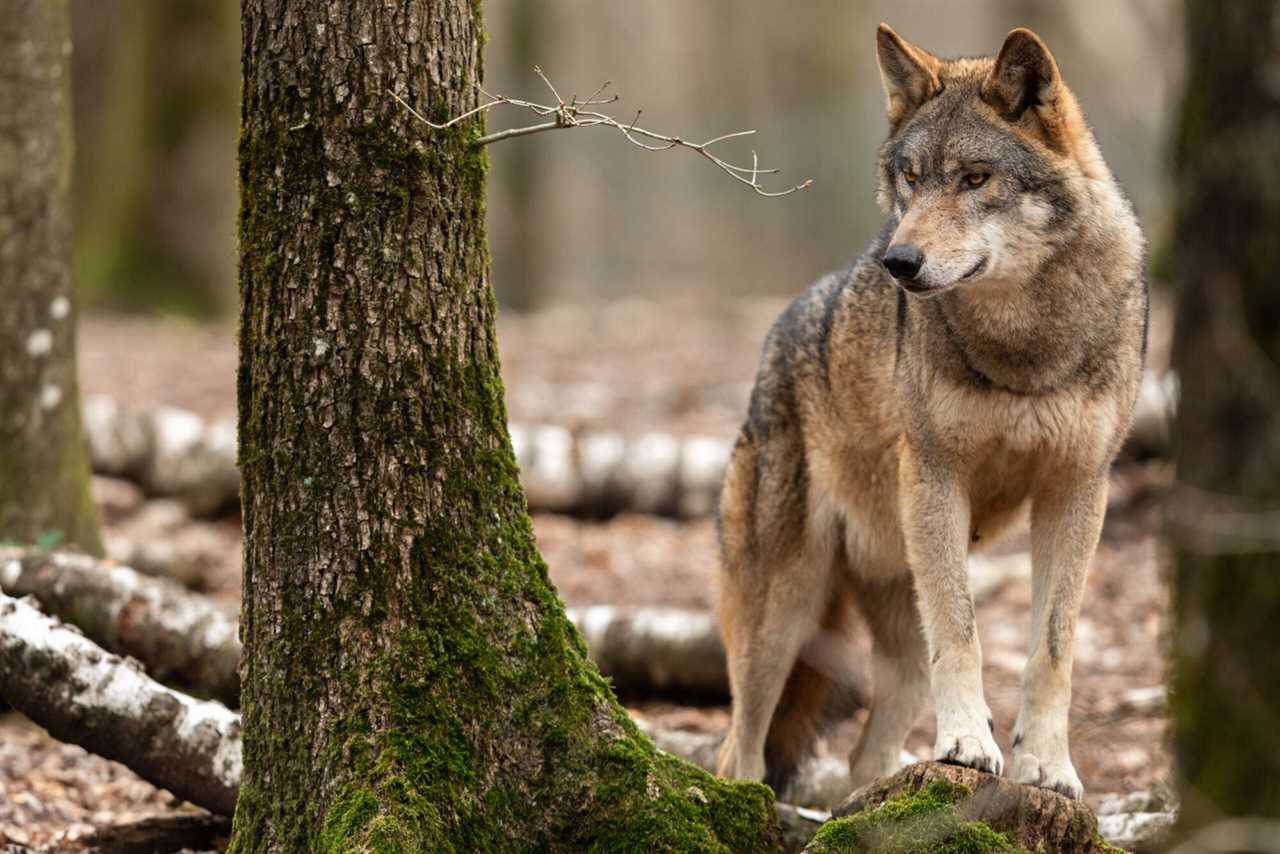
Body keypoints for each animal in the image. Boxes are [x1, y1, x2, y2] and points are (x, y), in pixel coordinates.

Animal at [716, 26, 1146, 804]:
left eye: (975, 179)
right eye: (912, 180)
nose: (899, 261)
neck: (1024, 345)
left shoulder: (1077, 489)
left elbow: (1053, 648)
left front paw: (1047, 767)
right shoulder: (937, 478)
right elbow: (964, 634)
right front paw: (970, 745)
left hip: (892, 633)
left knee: (865, 758)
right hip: (781, 620)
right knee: (740, 751)